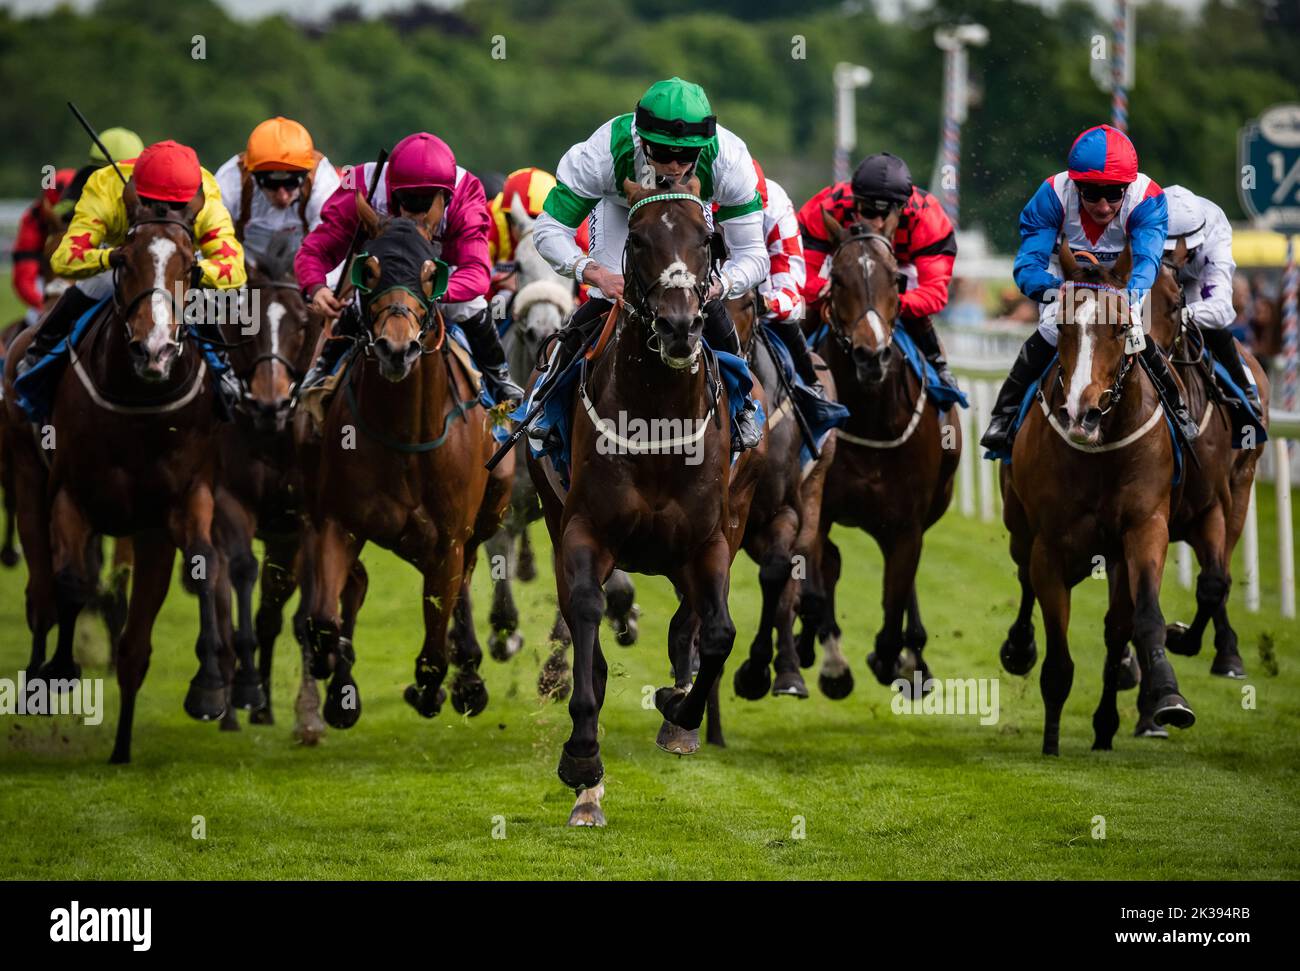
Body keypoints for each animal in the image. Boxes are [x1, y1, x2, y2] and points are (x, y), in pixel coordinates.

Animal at [1, 180, 233, 759]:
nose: (154, 351)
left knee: (133, 644)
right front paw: (59, 671)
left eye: (192, 266)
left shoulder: (181, 501)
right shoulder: (71, 494)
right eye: (124, 260)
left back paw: (123, 743)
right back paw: (38, 674)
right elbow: (71, 582)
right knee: (41, 592)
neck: (139, 402)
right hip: (26, 474)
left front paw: (209, 687)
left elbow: (203, 563)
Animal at [301, 206, 509, 738]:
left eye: (432, 272)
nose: (398, 349)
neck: (404, 435)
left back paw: (468, 676)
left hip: (485, 516)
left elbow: (434, 647)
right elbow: (326, 619)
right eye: (368, 271)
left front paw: (433, 688)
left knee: (462, 582)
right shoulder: (338, 523)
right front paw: (331, 671)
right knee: (354, 589)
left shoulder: (448, 539)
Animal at [522, 176, 759, 826]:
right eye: (641, 239)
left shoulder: (709, 540)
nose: (679, 326)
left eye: (707, 239)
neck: (656, 416)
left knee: (694, 621)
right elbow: (586, 617)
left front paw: (679, 710)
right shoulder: (584, 531)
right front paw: (582, 761)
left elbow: (720, 632)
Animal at [800, 214, 967, 696]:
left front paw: (894, 657)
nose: (870, 356)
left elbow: (894, 607)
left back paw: (914, 655)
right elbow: (823, 576)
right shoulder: (821, 510)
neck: (870, 418)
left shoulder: (907, 524)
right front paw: (832, 663)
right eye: (837, 279)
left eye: (896, 279)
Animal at [993, 241, 1196, 753]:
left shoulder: (1145, 527)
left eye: (1121, 327)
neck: (1101, 449)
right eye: (1064, 327)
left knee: (1115, 626)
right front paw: (1050, 741)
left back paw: (1107, 723)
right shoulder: (1050, 545)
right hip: (1019, 529)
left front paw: (1167, 696)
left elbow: (1143, 617)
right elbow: (1059, 658)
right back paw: (1019, 647)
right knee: (1023, 576)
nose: (1079, 413)